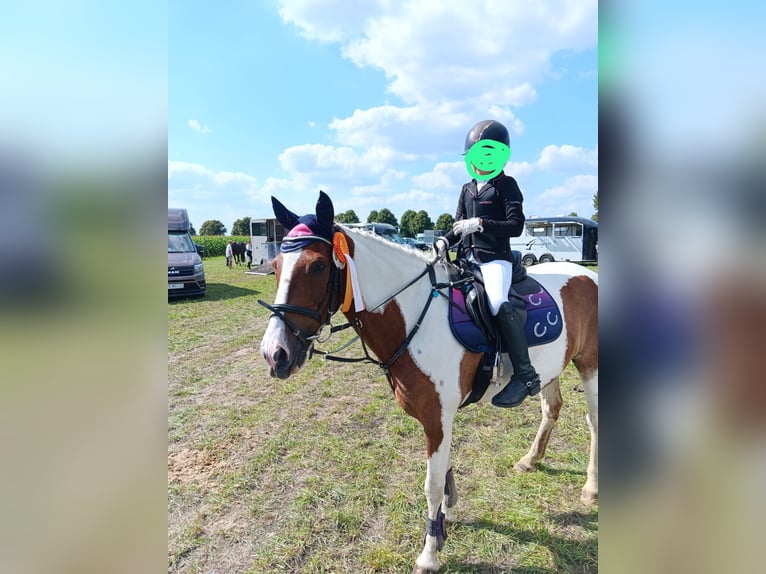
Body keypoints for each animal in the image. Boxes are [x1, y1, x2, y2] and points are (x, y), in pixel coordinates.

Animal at [259, 192, 598, 574]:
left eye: (317, 266)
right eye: (275, 267)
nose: (275, 354)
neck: (414, 318)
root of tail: (587, 274)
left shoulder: (437, 416)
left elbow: (432, 485)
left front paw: (429, 553)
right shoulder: (440, 418)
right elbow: (445, 471)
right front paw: (445, 520)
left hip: (590, 364)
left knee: (594, 421)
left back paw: (591, 488)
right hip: (551, 367)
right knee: (551, 408)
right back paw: (530, 459)